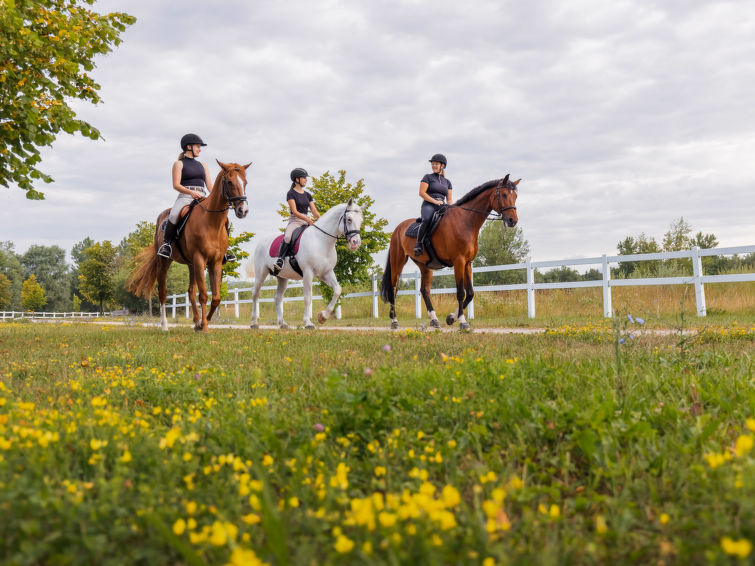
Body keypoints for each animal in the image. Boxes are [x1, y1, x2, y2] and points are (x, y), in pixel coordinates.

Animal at [128, 161, 250, 332]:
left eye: (245, 183)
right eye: (230, 182)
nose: (243, 210)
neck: (212, 222)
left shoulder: (215, 261)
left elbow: (216, 297)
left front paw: (204, 322)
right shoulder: (200, 258)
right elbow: (204, 295)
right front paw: (204, 326)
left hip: (191, 264)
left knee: (191, 292)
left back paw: (196, 322)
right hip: (165, 261)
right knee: (163, 292)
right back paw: (165, 326)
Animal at [250, 201, 364, 330]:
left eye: (361, 221)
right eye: (349, 219)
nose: (356, 243)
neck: (321, 240)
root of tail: (261, 242)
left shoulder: (326, 273)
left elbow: (337, 290)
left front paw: (323, 317)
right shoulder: (308, 273)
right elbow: (308, 297)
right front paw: (308, 322)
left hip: (282, 277)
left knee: (277, 297)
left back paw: (282, 323)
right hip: (261, 273)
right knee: (255, 294)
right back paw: (254, 323)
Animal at [380, 175, 516, 330]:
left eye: (515, 196)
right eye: (504, 195)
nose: (512, 220)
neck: (466, 221)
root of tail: (398, 228)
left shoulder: (467, 263)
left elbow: (470, 293)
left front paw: (451, 317)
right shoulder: (459, 261)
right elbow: (460, 292)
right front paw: (462, 321)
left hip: (425, 266)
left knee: (424, 290)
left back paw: (434, 319)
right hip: (397, 262)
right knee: (393, 289)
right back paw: (394, 321)